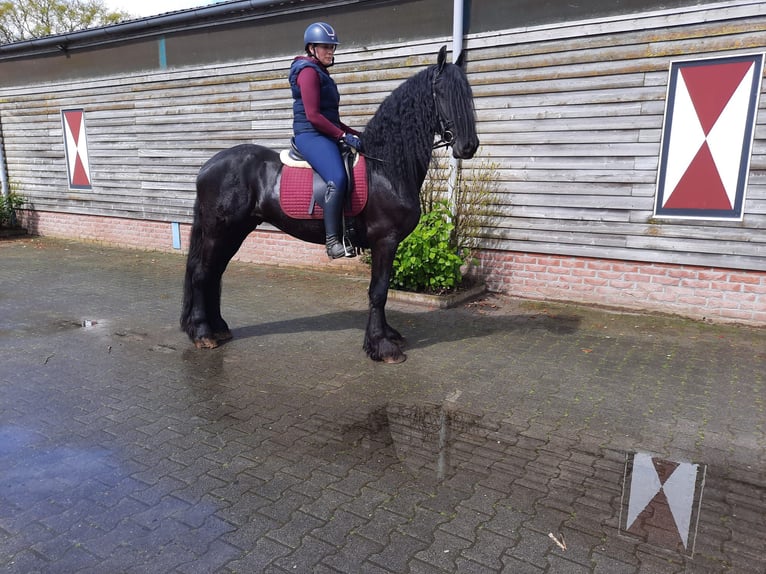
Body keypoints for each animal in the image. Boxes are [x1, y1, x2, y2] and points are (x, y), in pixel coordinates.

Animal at [181, 48, 480, 364]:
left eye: (467, 95)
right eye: (442, 93)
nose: (468, 146)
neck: (384, 168)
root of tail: (207, 167)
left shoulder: (389, 242)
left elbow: (382, 289)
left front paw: (386, 336)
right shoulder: (384, 240)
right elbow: (378, 292)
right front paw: (382, 346)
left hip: (235, 231)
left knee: (215, 273)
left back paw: (218, 328)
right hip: (219, 231)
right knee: (202, 274)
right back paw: (203, 334)